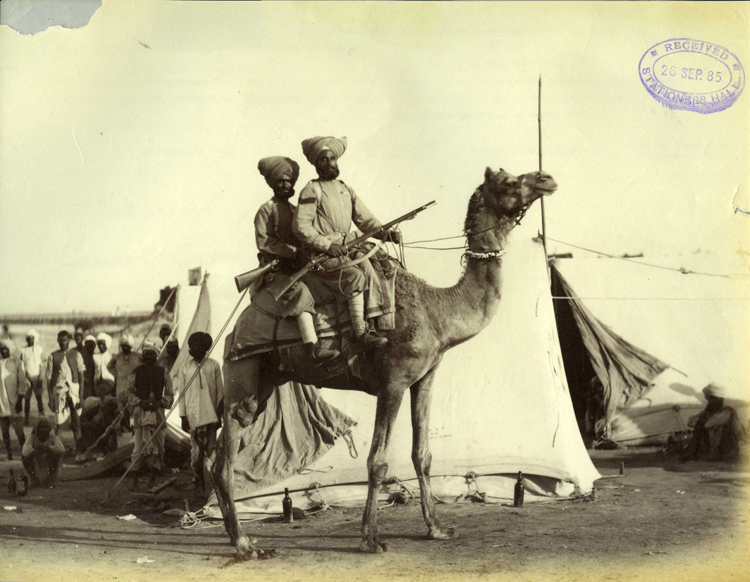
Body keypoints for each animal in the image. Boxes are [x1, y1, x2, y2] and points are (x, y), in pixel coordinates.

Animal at [212, 167, 560, 560]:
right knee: (226, 458)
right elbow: (377, 462)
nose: (546, 178)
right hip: (242, 370)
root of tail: (236, 327)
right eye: (509, 183)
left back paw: (236, 537)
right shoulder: (392, 382)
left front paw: (437, 528)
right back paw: (245, 545)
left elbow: (422, 454)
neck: (438, 311)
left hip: (268, 380)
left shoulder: (424, 378)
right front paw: (371, 538)